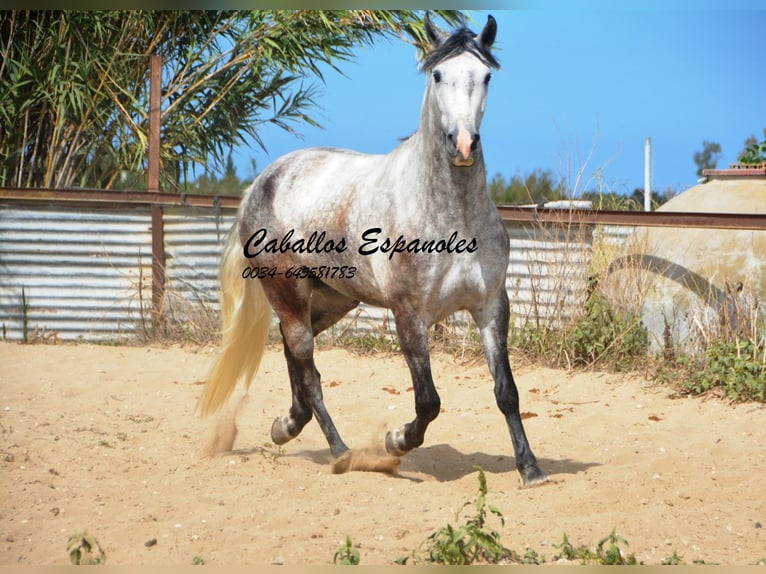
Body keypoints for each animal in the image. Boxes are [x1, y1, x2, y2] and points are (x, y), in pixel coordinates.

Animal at [201, 15, 548, 488]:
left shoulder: (491, 306)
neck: (450, 214)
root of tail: (263, 181)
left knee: (294, 354)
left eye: (486, 76)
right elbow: (428, 401)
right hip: (288, 293)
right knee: (308, 368)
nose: (462, 145)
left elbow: (507, 392)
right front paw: (395, 442)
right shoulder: (409, 314)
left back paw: (287, 426)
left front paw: (531, 469)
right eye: (438, 75)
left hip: (332, 300)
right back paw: (341, 452)